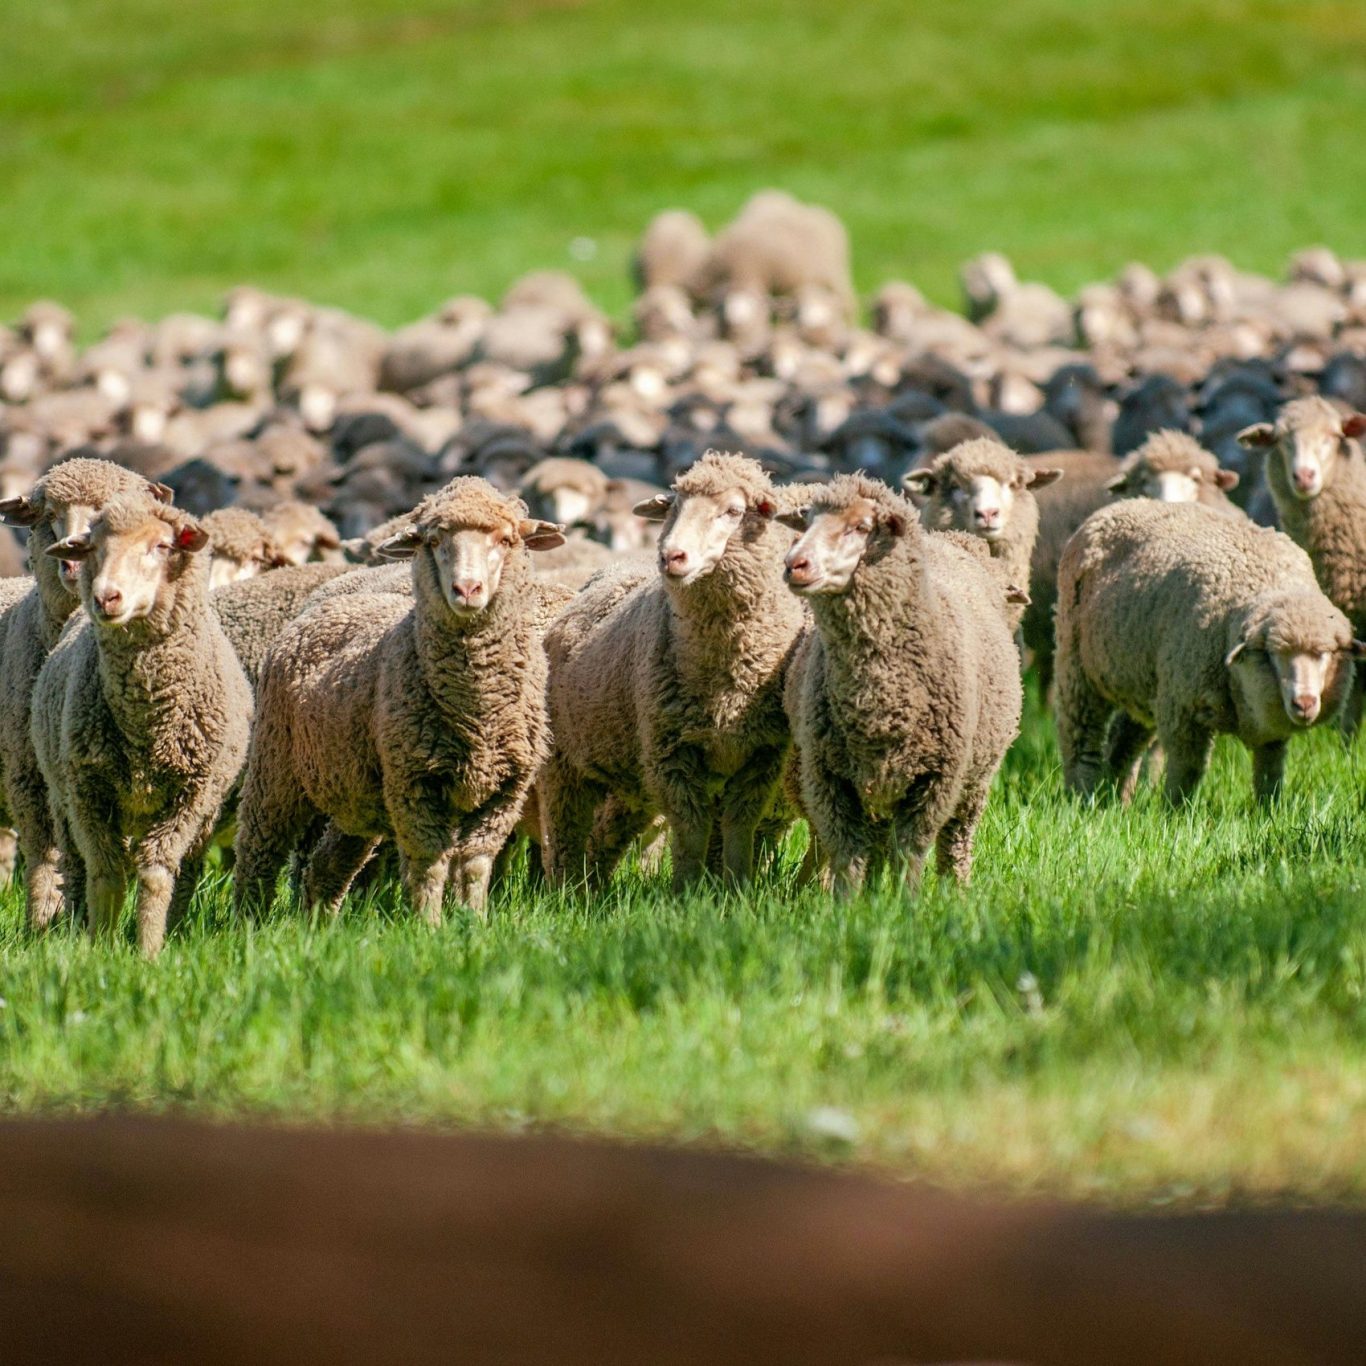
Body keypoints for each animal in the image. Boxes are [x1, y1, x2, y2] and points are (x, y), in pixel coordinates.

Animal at [30, 496, 253, 956]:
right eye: (93, 548)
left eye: (162, 546)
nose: (106, 597)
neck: (145, 727)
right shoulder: (88, 791)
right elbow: (105, 872)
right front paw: (101, 948)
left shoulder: (190, 797)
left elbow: (154, 872)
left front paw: (148, 952)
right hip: (62, 799)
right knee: (75, 868)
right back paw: (77, 924)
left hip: (202, 817)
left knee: (184, 872)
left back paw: (177, 926)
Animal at [233, 478, 564, 922]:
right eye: (433, 540)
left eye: (506, 539)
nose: (467, 589)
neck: (477, 709)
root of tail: (329, 603)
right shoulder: (415, 783)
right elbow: (430, 862)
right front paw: (430, 926)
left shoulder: (505, 790)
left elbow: (475, 864)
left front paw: (473, 921)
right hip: (276, 765)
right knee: (258, 849)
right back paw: (248, 922)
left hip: (354, 793)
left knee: (326, 866)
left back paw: (318, 926)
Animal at [540, 451, 806, 891]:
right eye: (674, 507)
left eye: (733, 511)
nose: (671, 556)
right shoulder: (672, 755)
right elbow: (692, 831)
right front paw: (685, 892)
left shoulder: (761, 755)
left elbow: (739, 828)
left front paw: (736, 888)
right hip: (565, 759)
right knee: (566, 830)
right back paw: (566, 890)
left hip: (630, 772)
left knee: (607, 833)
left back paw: (593, 887)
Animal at [779, 474, 1023, 892]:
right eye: (807, 521)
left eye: (861, 527)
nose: (795, 564)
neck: (878, 699)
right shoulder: (829, 778)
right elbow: (847, 855)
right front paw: (848, 904)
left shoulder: (935, 780)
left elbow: (911, 852)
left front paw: (906, 902)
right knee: (877, 843)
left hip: (974, 781)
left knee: (955, 841)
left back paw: (955, 891)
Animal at [1056, 499, 1362, 804]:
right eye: (1273, 655)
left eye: (1325, 654)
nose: (1304, 703)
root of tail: (1120, 504)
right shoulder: (1183, 711)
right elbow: (1187, 772)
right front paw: (1174, 810)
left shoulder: (1270, 732)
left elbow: (1269, 774)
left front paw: (1269, 810)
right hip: (1076, 666)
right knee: (1080, 741)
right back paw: (1080, 797)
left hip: (1144, 681)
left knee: (1124, 741)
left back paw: (1118, 801)